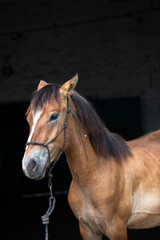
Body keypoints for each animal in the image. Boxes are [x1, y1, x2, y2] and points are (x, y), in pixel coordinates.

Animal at [22, 74, 160, 239]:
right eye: (28, 118)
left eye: (54, 115)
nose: (29, 165)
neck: (95, 174)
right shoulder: (87, 230)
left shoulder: (116, 229)